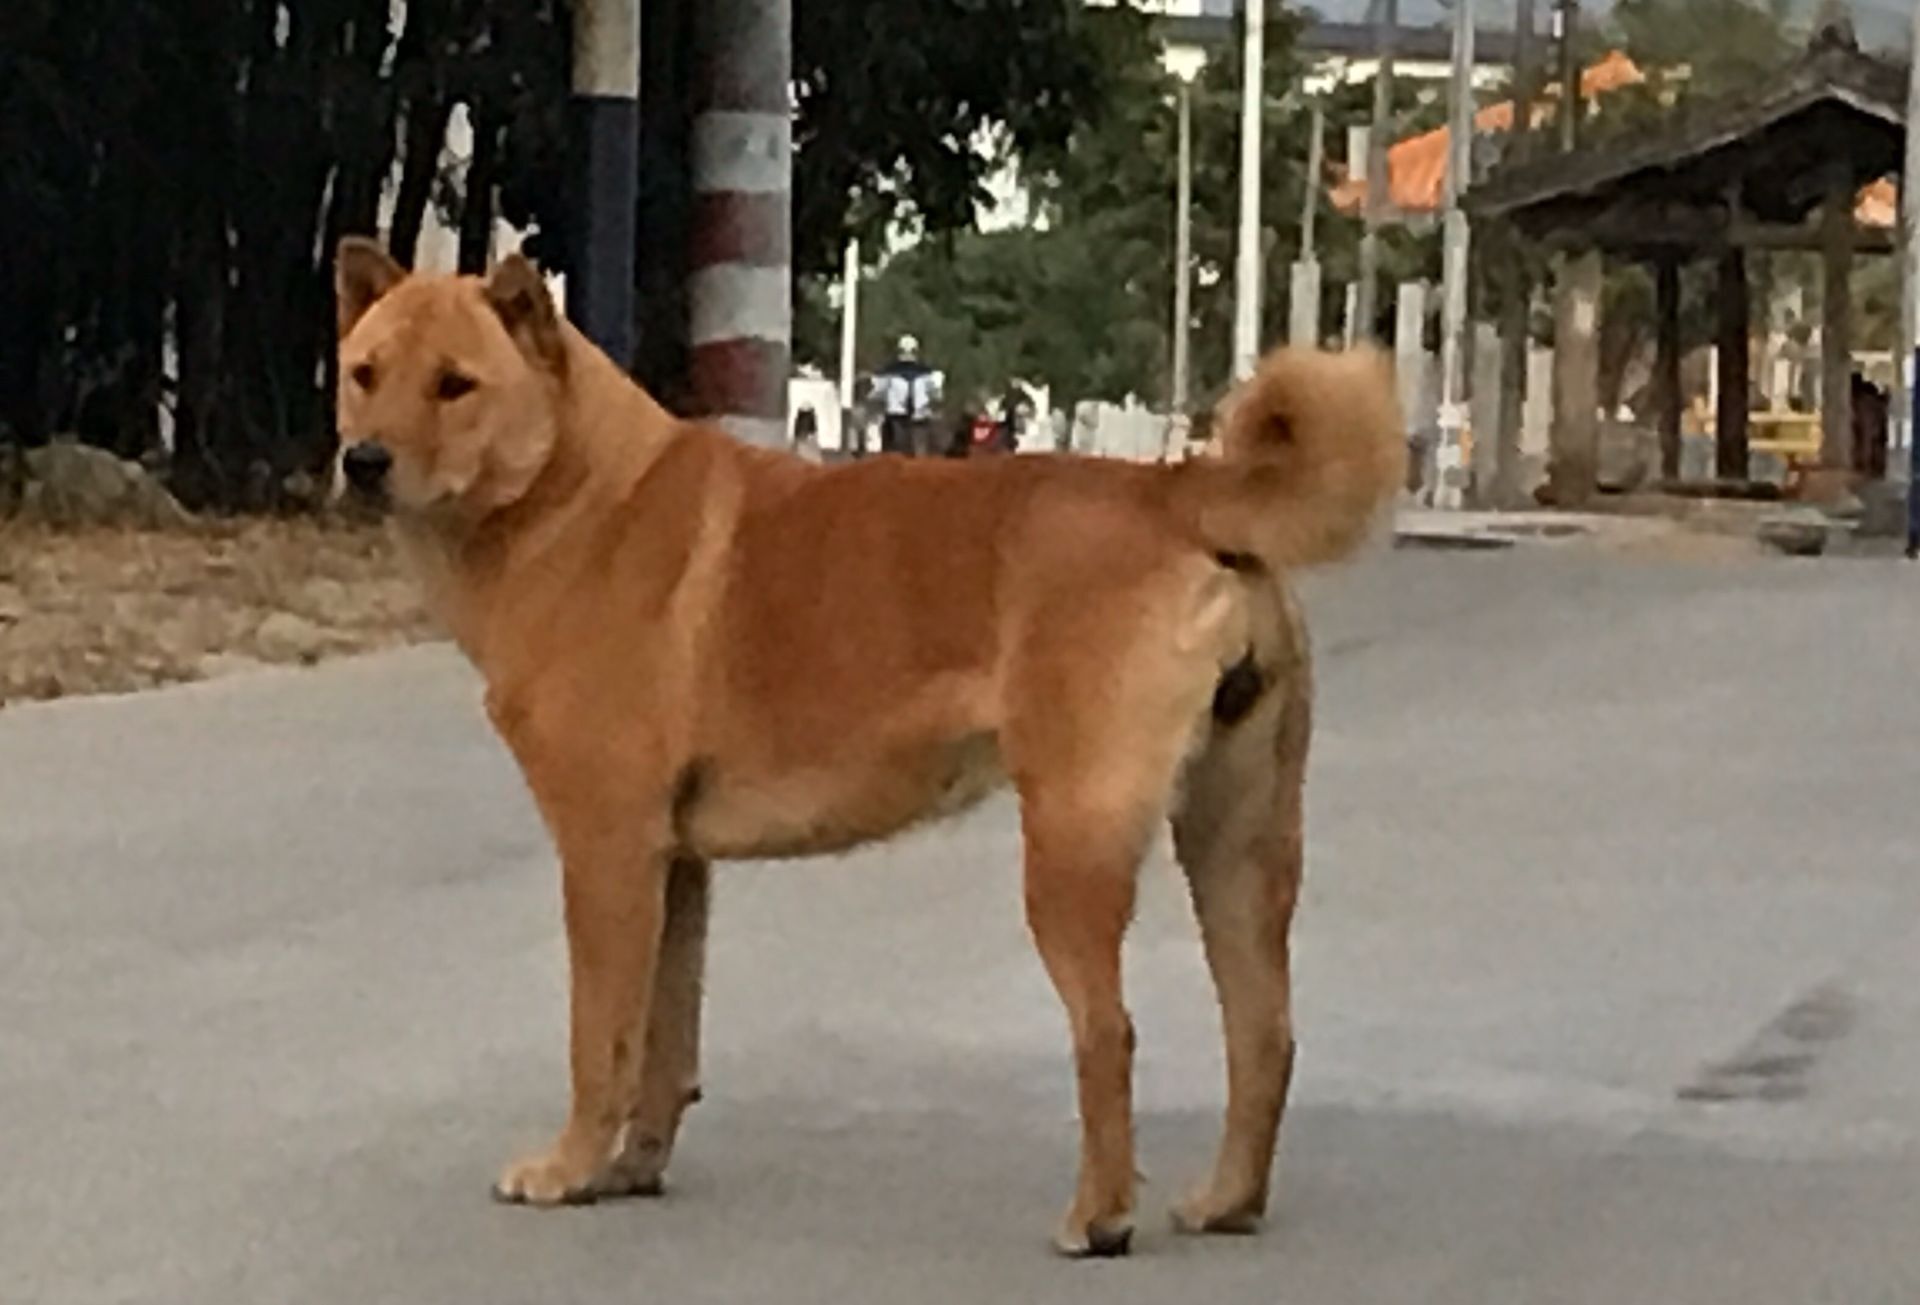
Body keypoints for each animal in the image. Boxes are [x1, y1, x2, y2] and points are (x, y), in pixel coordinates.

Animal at [334, 234, 1413, 1251]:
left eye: (455, 384)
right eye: (364, 372)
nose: (361, 462)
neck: (578, 496)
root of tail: (1179, 491)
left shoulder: (606, 853)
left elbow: (599, 1038)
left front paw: (566, 1169)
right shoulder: (673, 864)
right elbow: (666, 1038)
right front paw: (633, 1167)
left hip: (1074, 845)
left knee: (1111, 1033)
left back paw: (1097, 1218)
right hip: (1238, 843)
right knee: (1264, 1030)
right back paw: (1227, 1201)